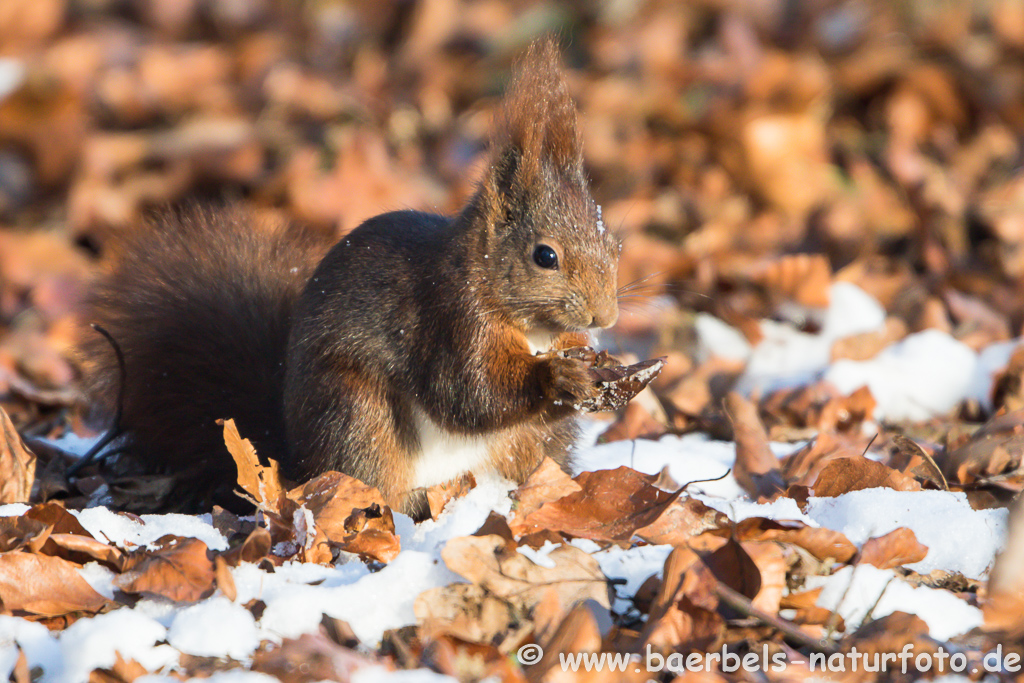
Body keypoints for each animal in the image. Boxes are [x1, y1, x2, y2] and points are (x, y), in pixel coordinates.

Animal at [77, 40, 614, 516]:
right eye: (545, 256)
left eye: (613, 244)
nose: (604, 317)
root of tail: (295, 456)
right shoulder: (450, 317)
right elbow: (466, 392)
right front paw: (557, 376)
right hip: (357, 415)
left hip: (533, 445)